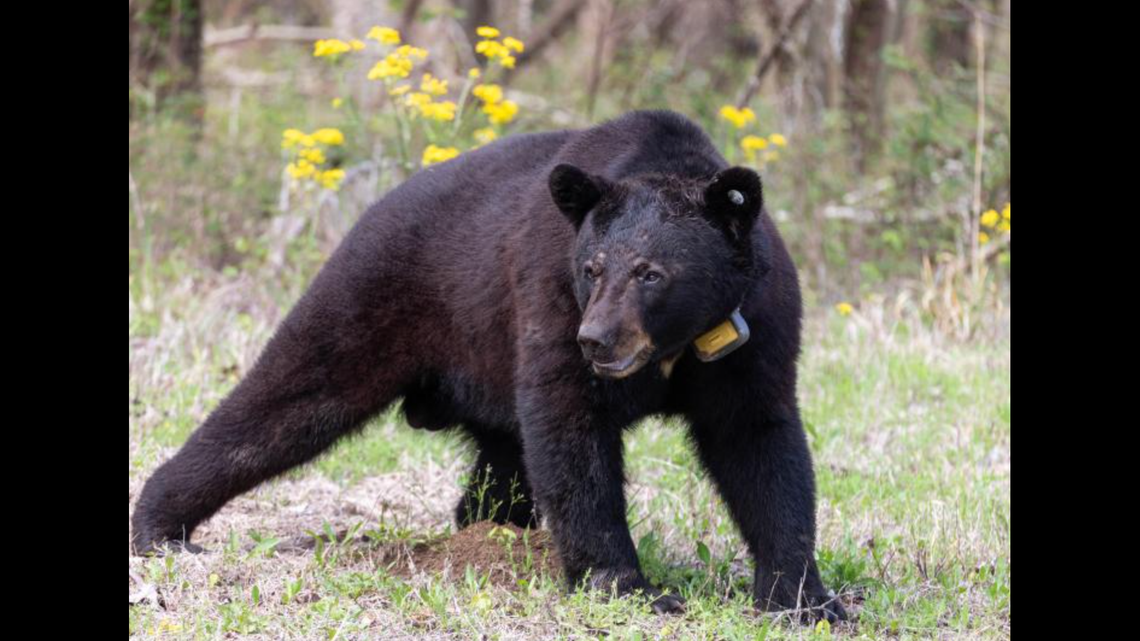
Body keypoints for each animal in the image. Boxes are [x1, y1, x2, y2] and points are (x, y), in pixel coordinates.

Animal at [131, 110, 846, 622]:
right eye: (593, 268)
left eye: (651, 272)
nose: (597, 340)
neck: (675, 347)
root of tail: (375, 207)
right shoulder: (548, 294)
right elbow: (571, 432)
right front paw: (630, 588)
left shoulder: (754, 330)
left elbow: (760, 444)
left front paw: (804, 599)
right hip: (375, 298)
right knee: (286, 400)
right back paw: (161, 526)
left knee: (500, 466)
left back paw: (490, 532)